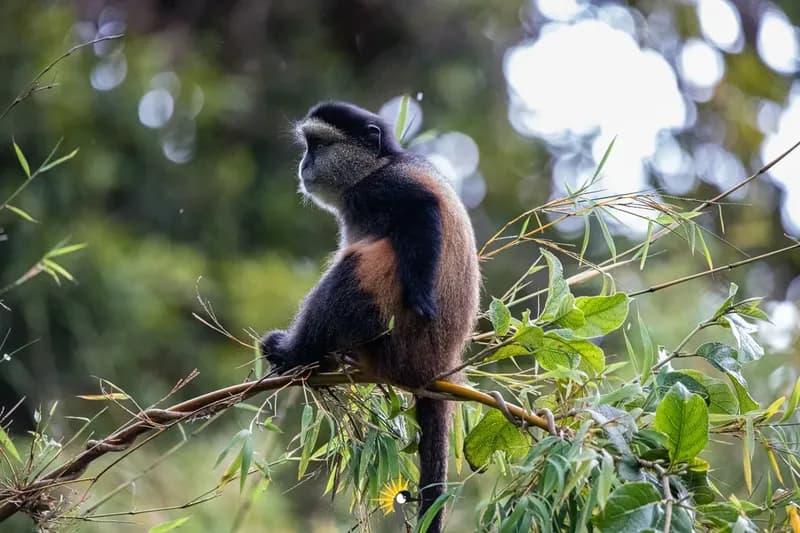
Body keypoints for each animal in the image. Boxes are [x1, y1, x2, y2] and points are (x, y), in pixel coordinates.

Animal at [260, 101, 480, 532]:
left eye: (318, 145)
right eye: (307, 146)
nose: (303, 164)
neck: (380, 163)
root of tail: (438, 365)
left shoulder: (382, 188)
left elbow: (422, 209)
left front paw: (422, 296)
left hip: (390, 336)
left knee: (354, 267)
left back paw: (296, 355)